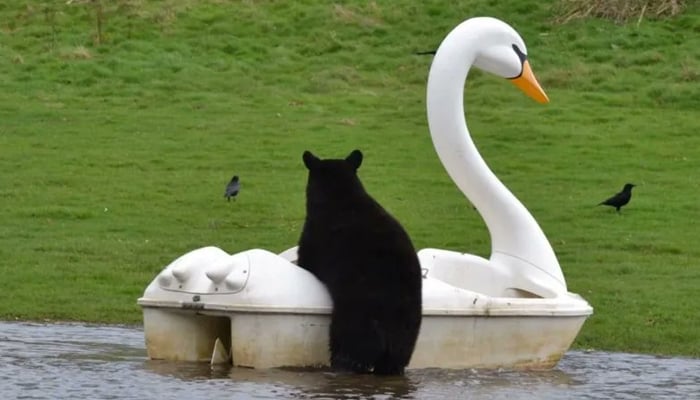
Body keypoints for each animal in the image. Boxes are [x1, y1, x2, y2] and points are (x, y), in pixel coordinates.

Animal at [296, 149, 422, 376]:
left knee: (349, 349)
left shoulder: (315, 237)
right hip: (408, 331)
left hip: (356, 320)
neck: (339, 197)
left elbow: (306, 261)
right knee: (395, 361)